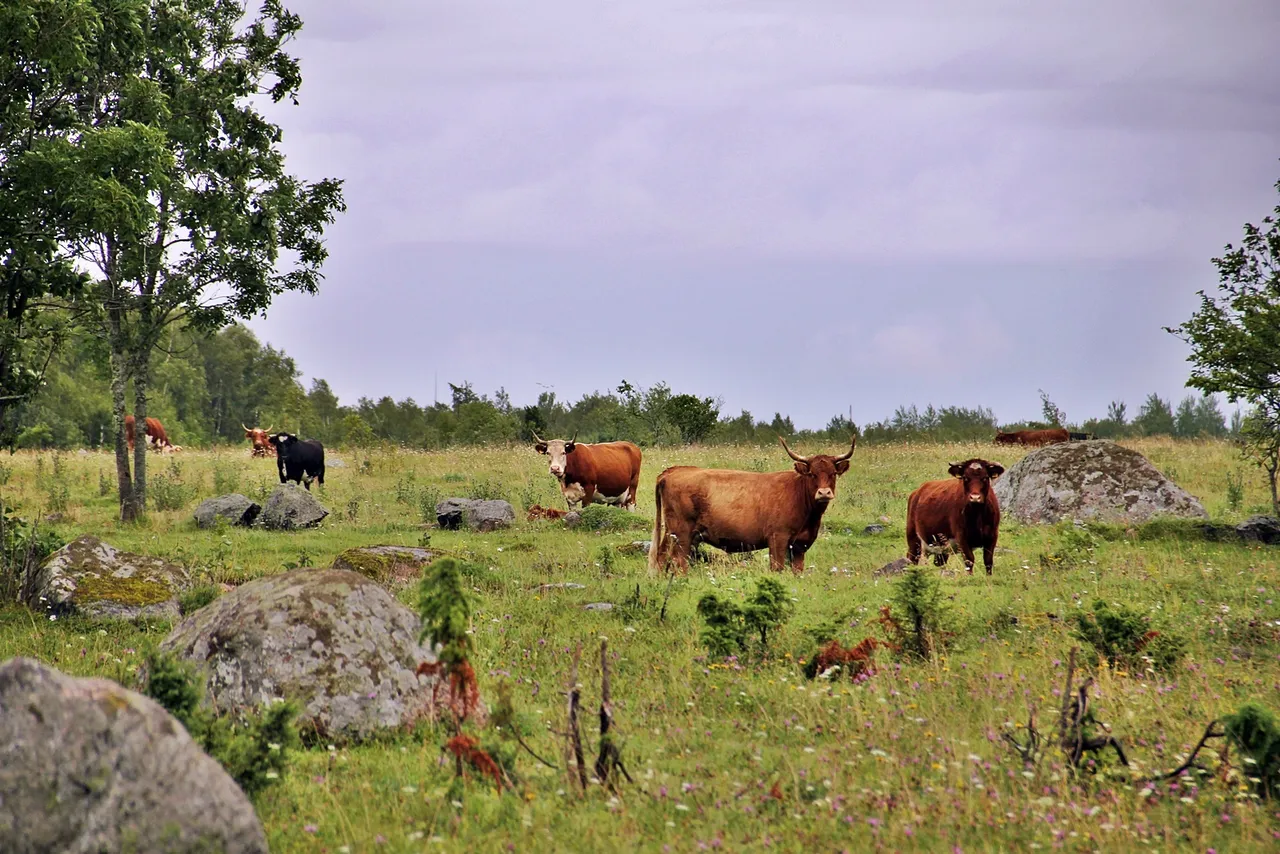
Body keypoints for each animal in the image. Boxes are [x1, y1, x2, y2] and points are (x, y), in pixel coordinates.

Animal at [648, 436, 856, 575]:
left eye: (833, 473)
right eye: (812, 474)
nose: (824, 493)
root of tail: (673, 471)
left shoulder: (800, 546)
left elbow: (797, 572)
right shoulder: (778, 539)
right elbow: (777, 569)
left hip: (677, 533)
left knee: (663, 557)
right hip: (681, 532)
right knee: (677, 561)